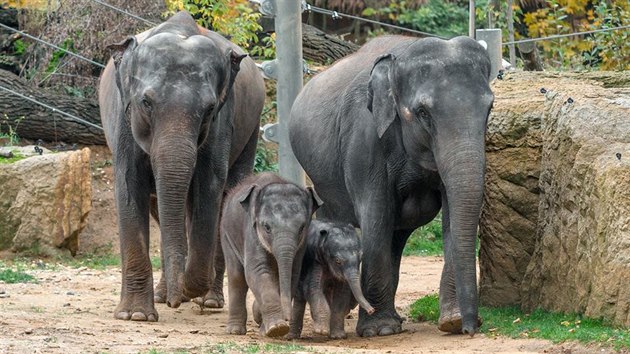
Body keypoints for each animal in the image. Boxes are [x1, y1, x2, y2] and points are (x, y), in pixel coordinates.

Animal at [221, 171, 320, 338]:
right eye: (266, 227)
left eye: (302, 228)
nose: (287, 319)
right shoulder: (252, 233)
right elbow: (257, 271)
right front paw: (276, 329)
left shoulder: (301, 245)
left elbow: (292, 274)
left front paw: (267, 327)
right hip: (226, 234)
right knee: (236, 276)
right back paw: (235, 331)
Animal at [288, 36, 496, 338]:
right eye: (422, 113)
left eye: (490, 108)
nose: (471, 329)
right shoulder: (364, 138)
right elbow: (376, 214)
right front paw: (379, 330)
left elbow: (452, 216)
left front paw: (452, 321)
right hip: (320, 176)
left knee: (395, 238)